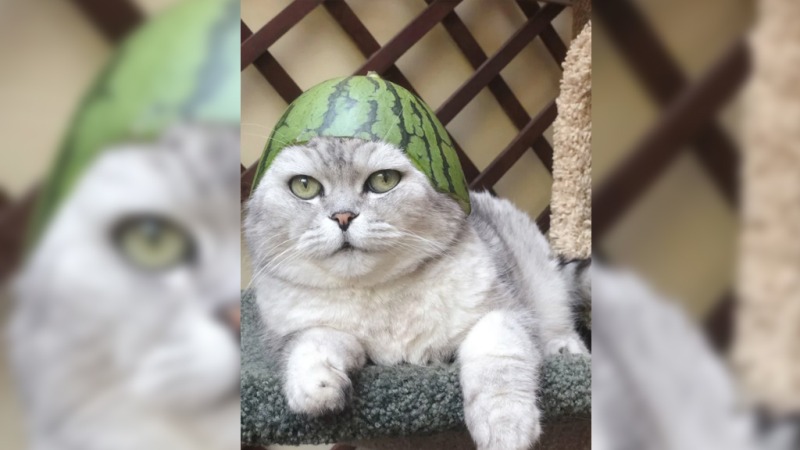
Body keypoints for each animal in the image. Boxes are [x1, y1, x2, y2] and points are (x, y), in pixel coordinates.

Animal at [245, 136, 590, 450]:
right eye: (304, 186)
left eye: (383, 181)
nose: (343, 217)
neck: (377, 292)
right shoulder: (294, 332)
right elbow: (313, 340)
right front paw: (316, 385)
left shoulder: (504, 311)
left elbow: (496, 354)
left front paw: (505, 421)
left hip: (544, 282)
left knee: (560, 324)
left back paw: (565, 349)